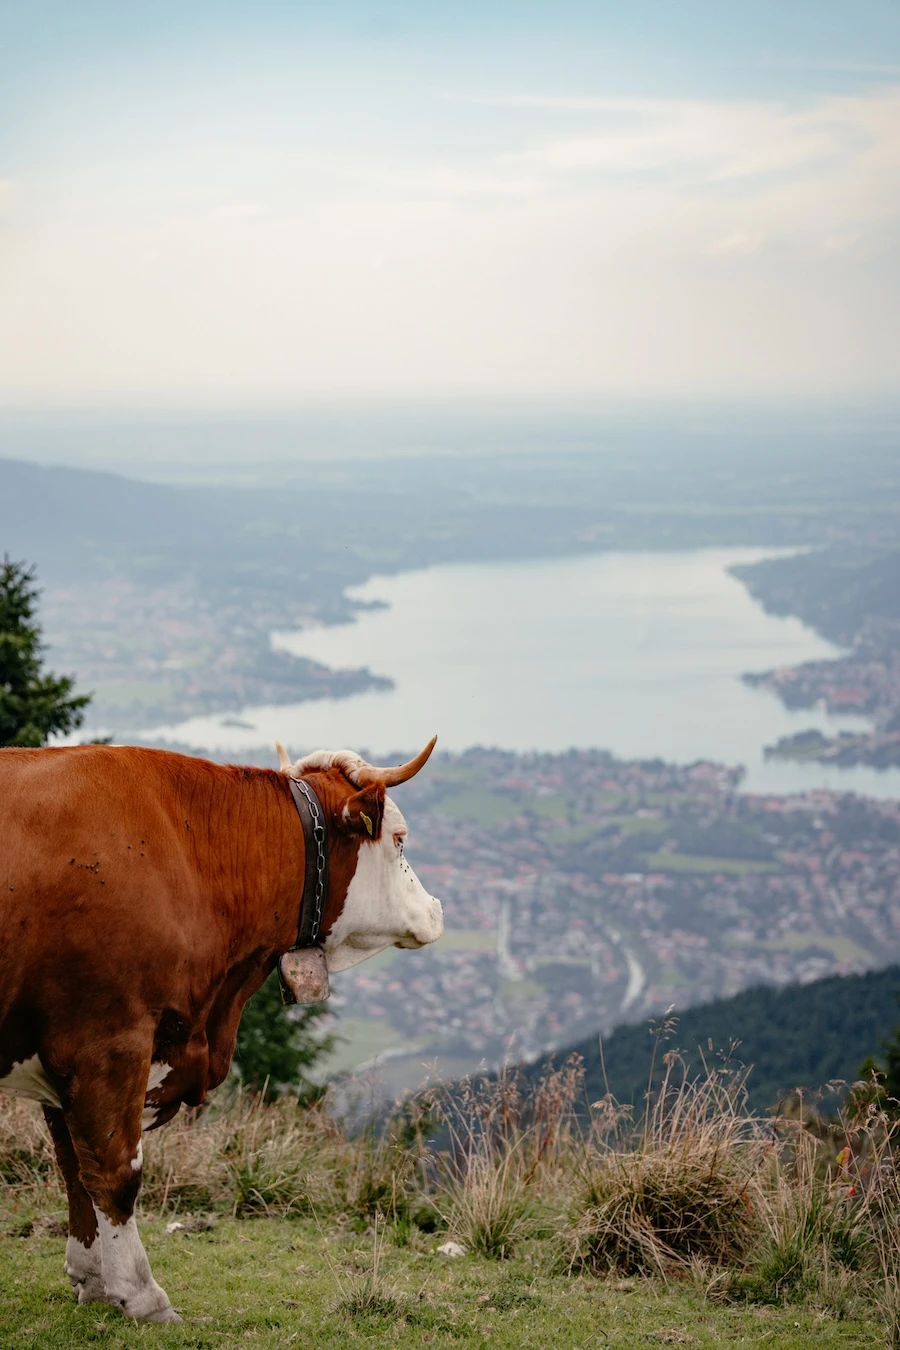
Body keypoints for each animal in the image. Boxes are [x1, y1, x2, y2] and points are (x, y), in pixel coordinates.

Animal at [0, 738, 443, 1323]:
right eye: (399, 839)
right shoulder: (106, 1041)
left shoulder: (62, 1061)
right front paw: (141, 1294)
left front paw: (91, 1279)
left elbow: (75, 1167)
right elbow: (115, 1172)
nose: (436, 909)